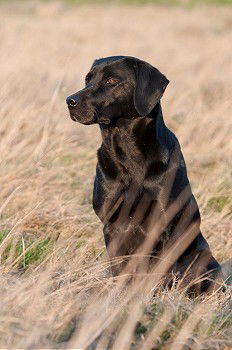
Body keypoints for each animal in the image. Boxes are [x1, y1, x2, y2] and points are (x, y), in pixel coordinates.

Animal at [66, 55, 222, 296]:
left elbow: (161, 272)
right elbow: (120, 270)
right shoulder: (112, 225)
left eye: (111, 80)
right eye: (87, 79)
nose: (70, 101)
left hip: (206, 259)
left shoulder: (165, 225)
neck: (129, 155)